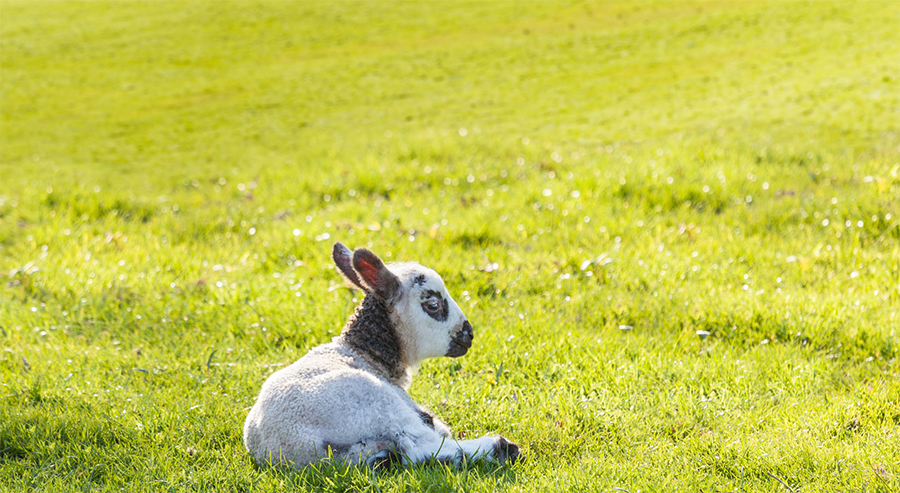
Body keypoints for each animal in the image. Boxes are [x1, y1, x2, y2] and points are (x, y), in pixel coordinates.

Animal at [242, 241, 520, 468]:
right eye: (433, 305)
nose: (469, 335)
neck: (364, 353)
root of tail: (295, 447)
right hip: (374, 405)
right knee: (425, 448)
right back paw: (503, 448)